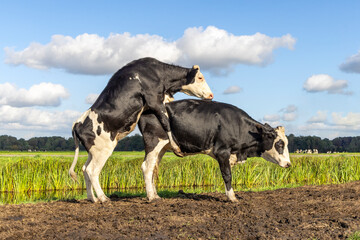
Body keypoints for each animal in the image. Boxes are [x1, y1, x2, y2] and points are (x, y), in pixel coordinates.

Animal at [69, 58, 214, 202]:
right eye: (200, 77)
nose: (211, 95)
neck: (157, 73)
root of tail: (78, 123)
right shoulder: (154, 100)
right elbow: (166, 122)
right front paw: (176, 146)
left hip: (93, 152)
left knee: (84, 169)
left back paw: (93, 198)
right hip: (103, 149)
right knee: (92, 171)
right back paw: (103, 198)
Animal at [139, 99, 292, 202]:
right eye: (279, 144)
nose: (289, 164)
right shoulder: (222, 151)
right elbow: (227, 175)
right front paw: (232, 198)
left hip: (162, 147)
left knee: (153, 168)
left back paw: (155, 194)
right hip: (153, 142)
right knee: (147, 167)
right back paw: (151, 197)